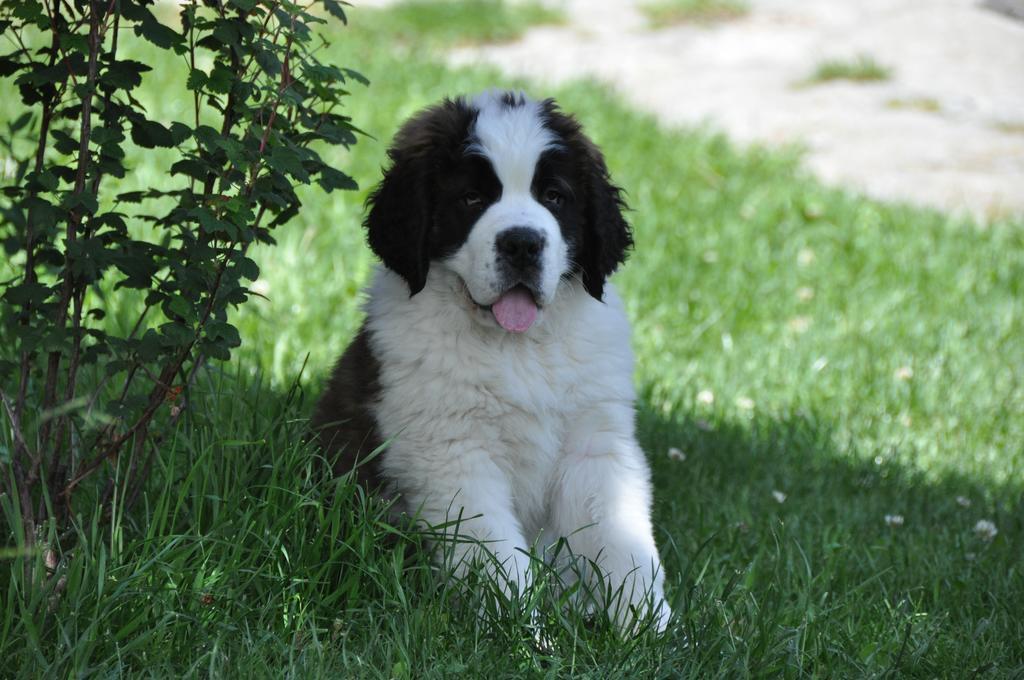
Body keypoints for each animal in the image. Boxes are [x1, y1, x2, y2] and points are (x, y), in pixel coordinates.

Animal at [315, 90, 675, 630]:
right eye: (471, 199)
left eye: (554, 196)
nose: (522, 242)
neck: (519, 348)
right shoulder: (452, 454)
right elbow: (496, 555)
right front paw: (523, 634)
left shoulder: (596, 446)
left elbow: (624, 543)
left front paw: (653, 629)